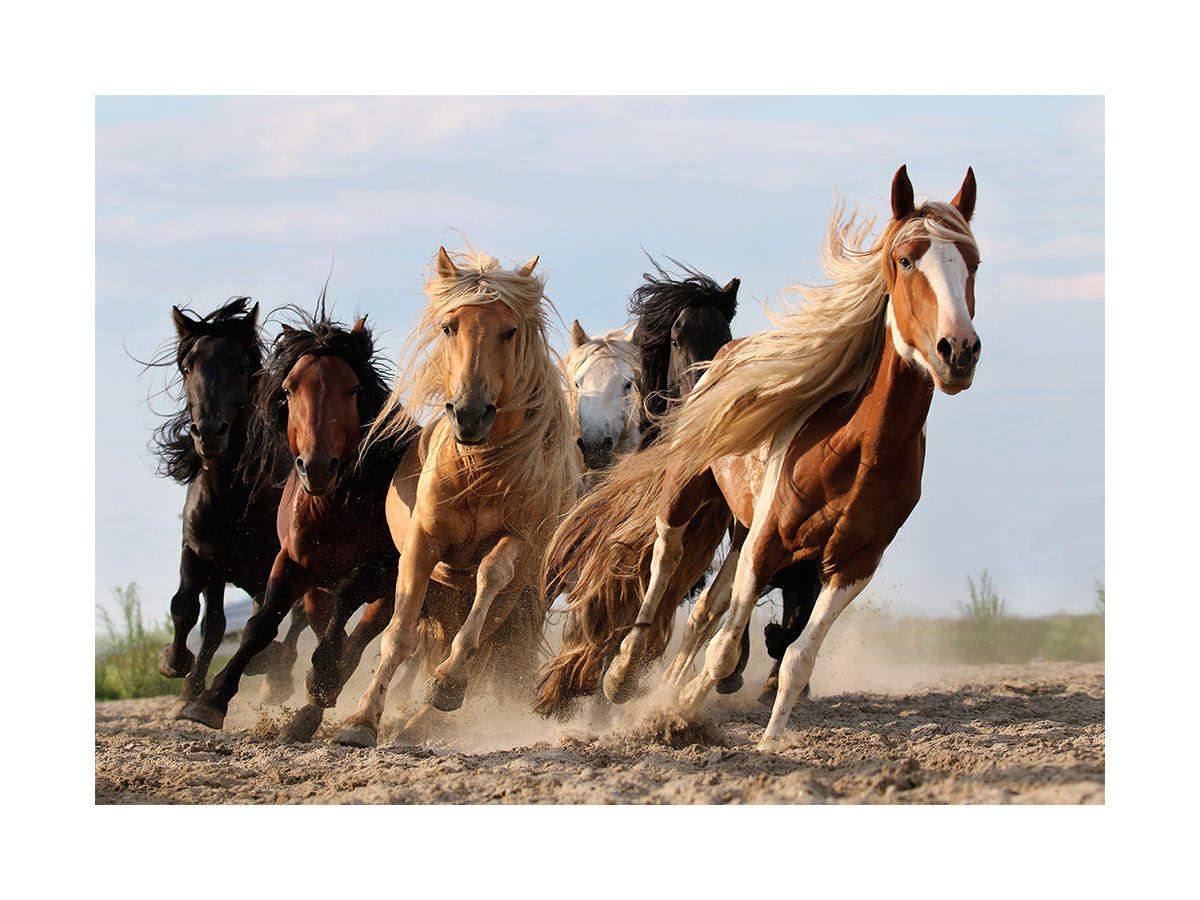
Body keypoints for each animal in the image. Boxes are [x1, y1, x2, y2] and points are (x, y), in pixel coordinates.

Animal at [150, 297, 301, 719]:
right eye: (188, 367)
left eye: (241, 368)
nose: (209, 432)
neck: (231, 500)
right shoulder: (202, 555)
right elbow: (192, 611)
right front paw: (179, 674)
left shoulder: (273, 563)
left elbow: (268, 617)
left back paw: (275, 678)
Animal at [180, 301, 418, 743]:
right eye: (289, 390)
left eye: (352, 389)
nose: (317, 466)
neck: (336, 506)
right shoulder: (291, 562)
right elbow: (261, 623)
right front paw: (211, 699)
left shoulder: (386, 567)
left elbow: (349, 599)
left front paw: (322, 676)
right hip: (317, 592)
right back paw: (307, 711)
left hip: (389, 591)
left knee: (359, 638)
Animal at [331, 245, 581, 748]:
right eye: (449, 327)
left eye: (510, 331)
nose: (469, 415)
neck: (479, 471)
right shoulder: (423, 545)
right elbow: (399, 635)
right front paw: (360, 720)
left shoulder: (518, 542)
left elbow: (490, 577)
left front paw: (447, 684)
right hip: (446, 593)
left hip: (511, 598)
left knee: (479, 645)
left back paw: (427, 714)